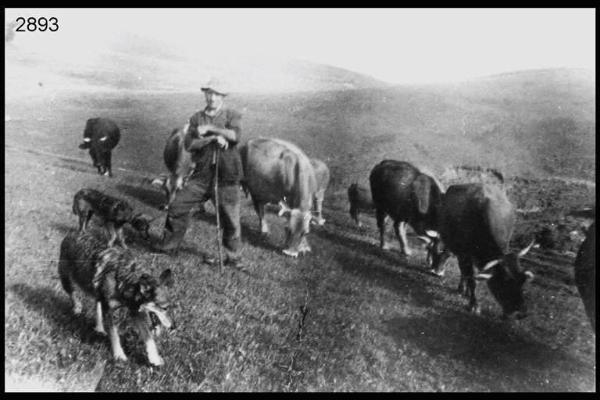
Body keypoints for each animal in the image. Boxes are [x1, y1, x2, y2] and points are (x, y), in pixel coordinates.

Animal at [58, 230, 175, 368]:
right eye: (164, 308)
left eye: (169, 307)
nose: (173, 326)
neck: (128, 280)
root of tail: (75, 232)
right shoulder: (110, 310)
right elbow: (114, 334)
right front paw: (119, 355)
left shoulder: (136, 312)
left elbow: (149, 338)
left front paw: (154, 358)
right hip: (66, 279)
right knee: (73, 294)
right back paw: (77, 308)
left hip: (98, 294)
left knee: (97, 305)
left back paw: (99, 327)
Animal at [428, 184, 536, 318]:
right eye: (504, 282)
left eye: (523, 280)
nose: (521, 313)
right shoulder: (465, 254)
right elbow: (472, 279)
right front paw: (474, 304)